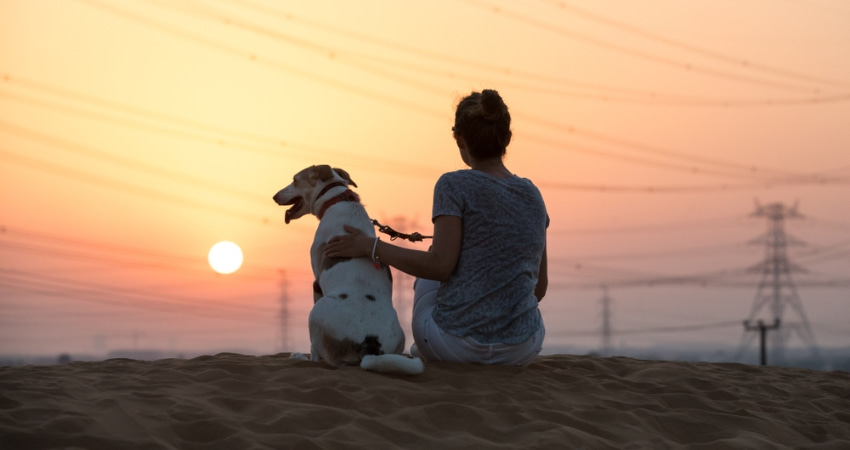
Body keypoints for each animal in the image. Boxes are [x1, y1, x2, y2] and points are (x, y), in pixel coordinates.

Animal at [274, 165, 422, 376]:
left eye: (294, 180)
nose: (274, 196)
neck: (337, 199)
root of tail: (370, 345)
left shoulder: (316, 281)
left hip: (316, 313)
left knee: (321, 355)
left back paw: (300, 357)